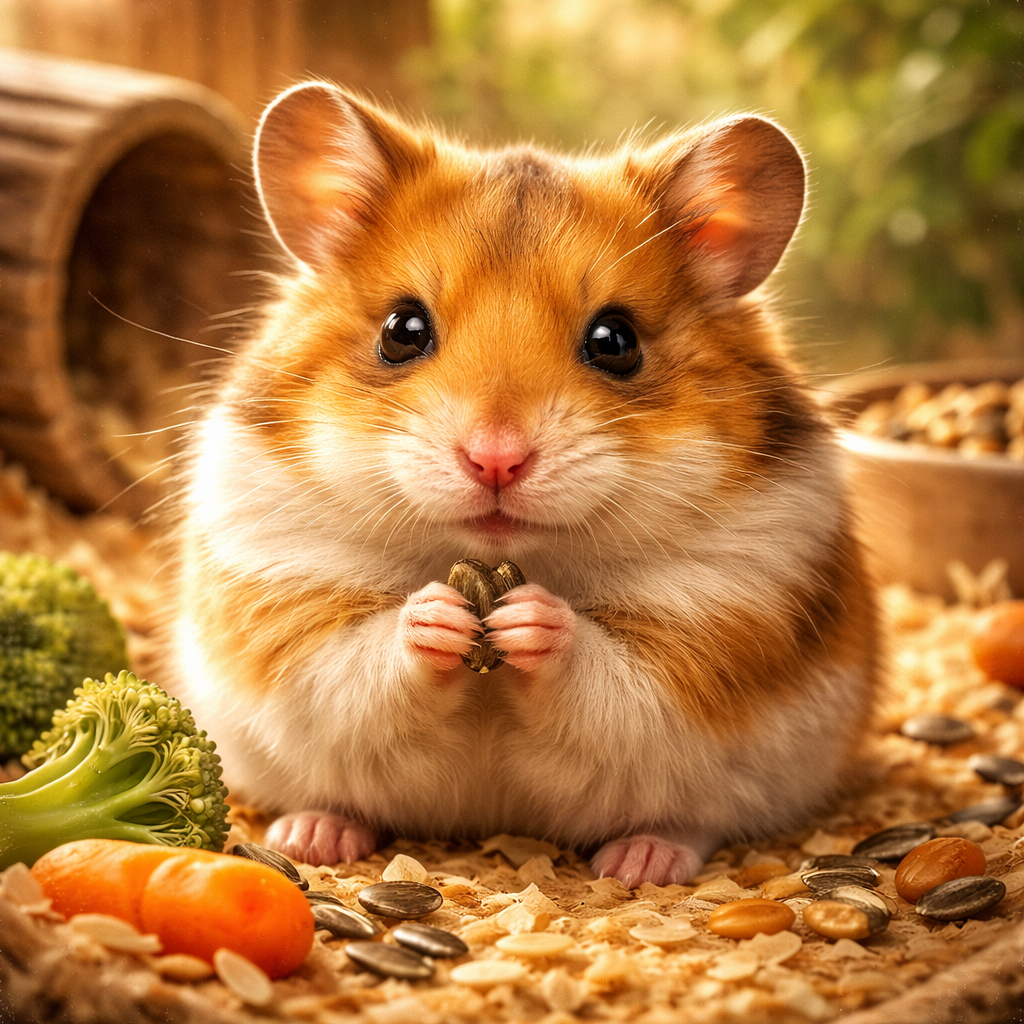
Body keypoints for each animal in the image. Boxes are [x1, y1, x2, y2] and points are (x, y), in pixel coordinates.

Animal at [168, 81, 878, 887]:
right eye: (402, 330)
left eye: (616, 341)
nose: (496, 461)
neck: (500, 558)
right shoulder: (286, 603)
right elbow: (359, 659)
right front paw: (439, 617)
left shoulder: (718, 623)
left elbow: (612, 678)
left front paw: (528, 621)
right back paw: (313, 836)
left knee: (689, 820)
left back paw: (643, 861)